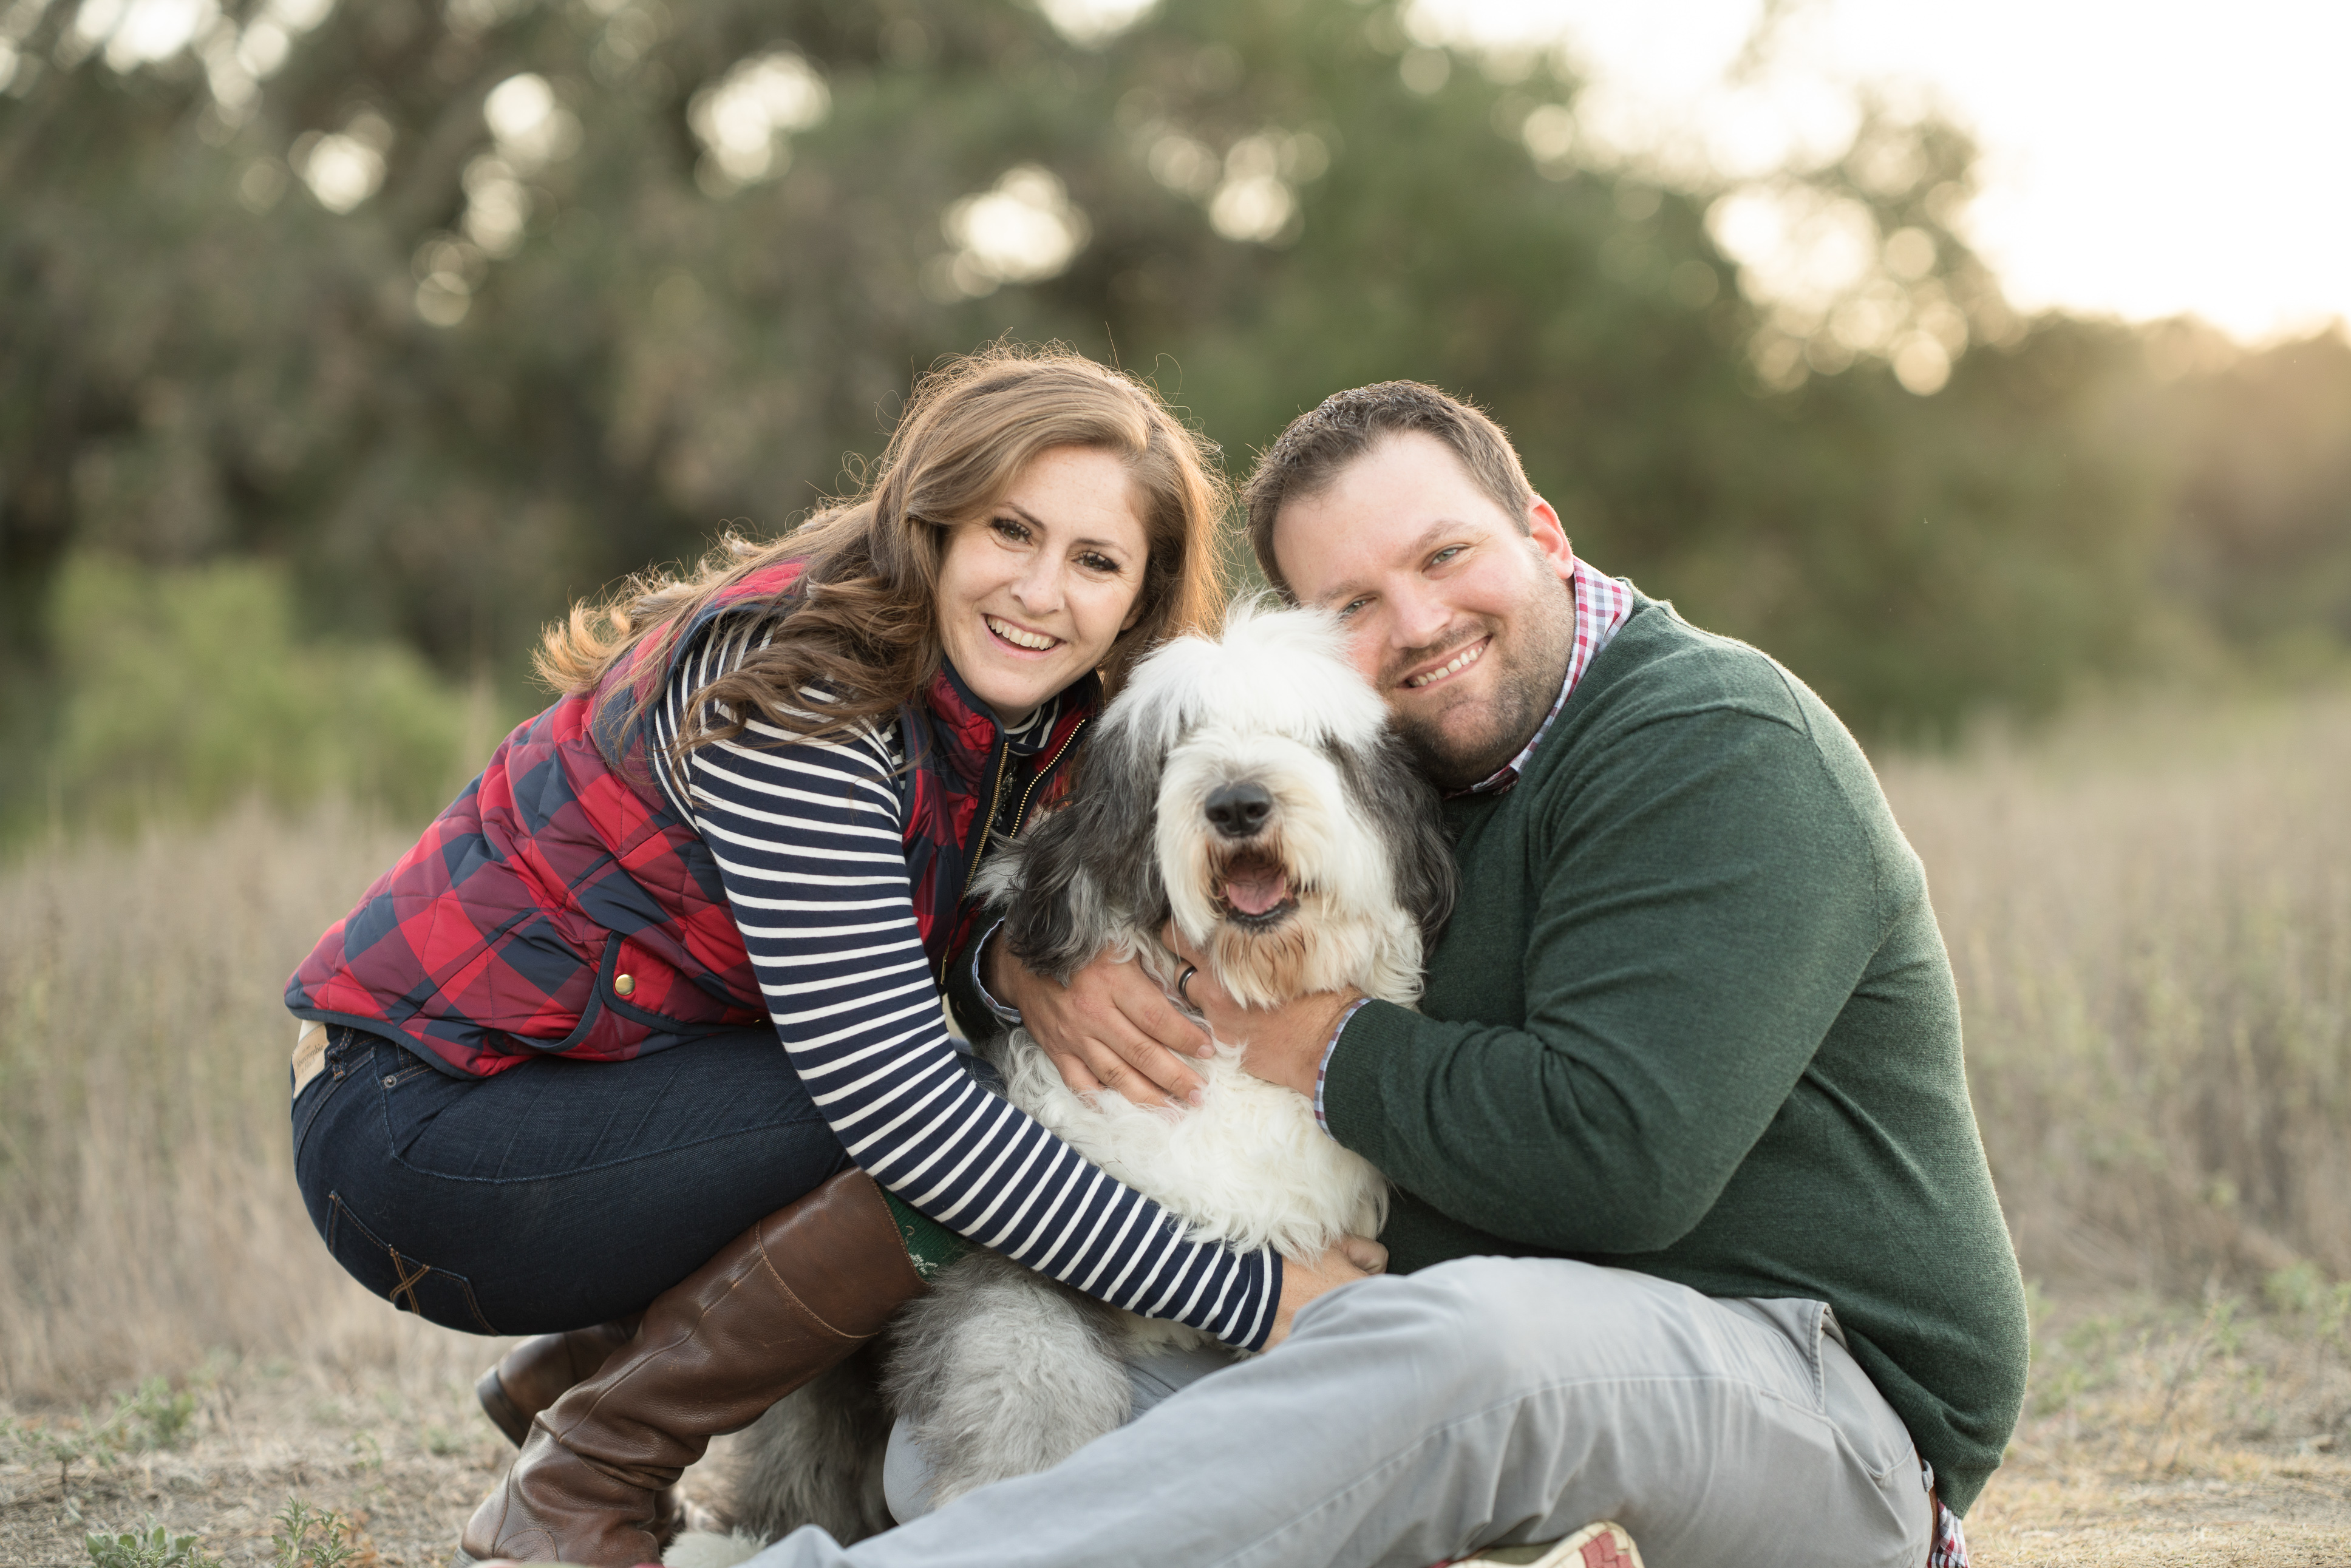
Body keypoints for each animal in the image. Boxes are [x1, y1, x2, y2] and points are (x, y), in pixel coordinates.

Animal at [662, 606, 1457, 1561]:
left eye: (1310, 740)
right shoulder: (1026, 1253)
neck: (1232, 1017)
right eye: (1177, 743)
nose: (1237, 804)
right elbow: (1029, 1383)